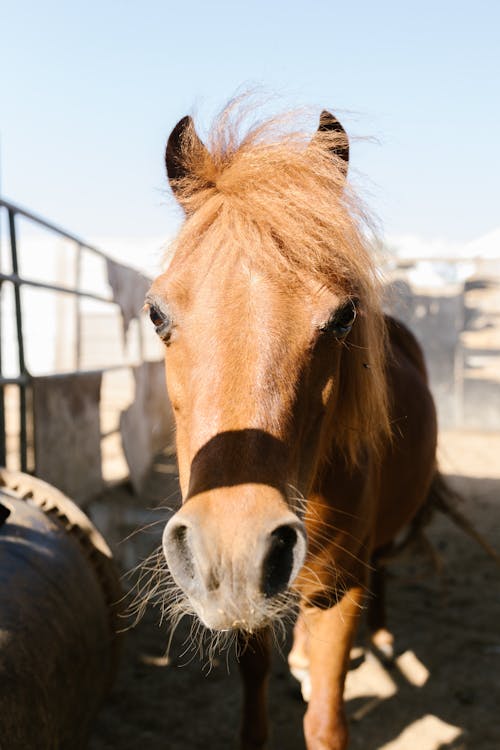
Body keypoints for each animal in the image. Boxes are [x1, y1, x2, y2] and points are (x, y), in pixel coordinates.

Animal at [146, 104, 438, 750]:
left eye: (344, 315)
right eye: (155, 313)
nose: (232, 546)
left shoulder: (338, 591)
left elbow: (326, 722)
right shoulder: (253, 600)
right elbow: (256, 676)